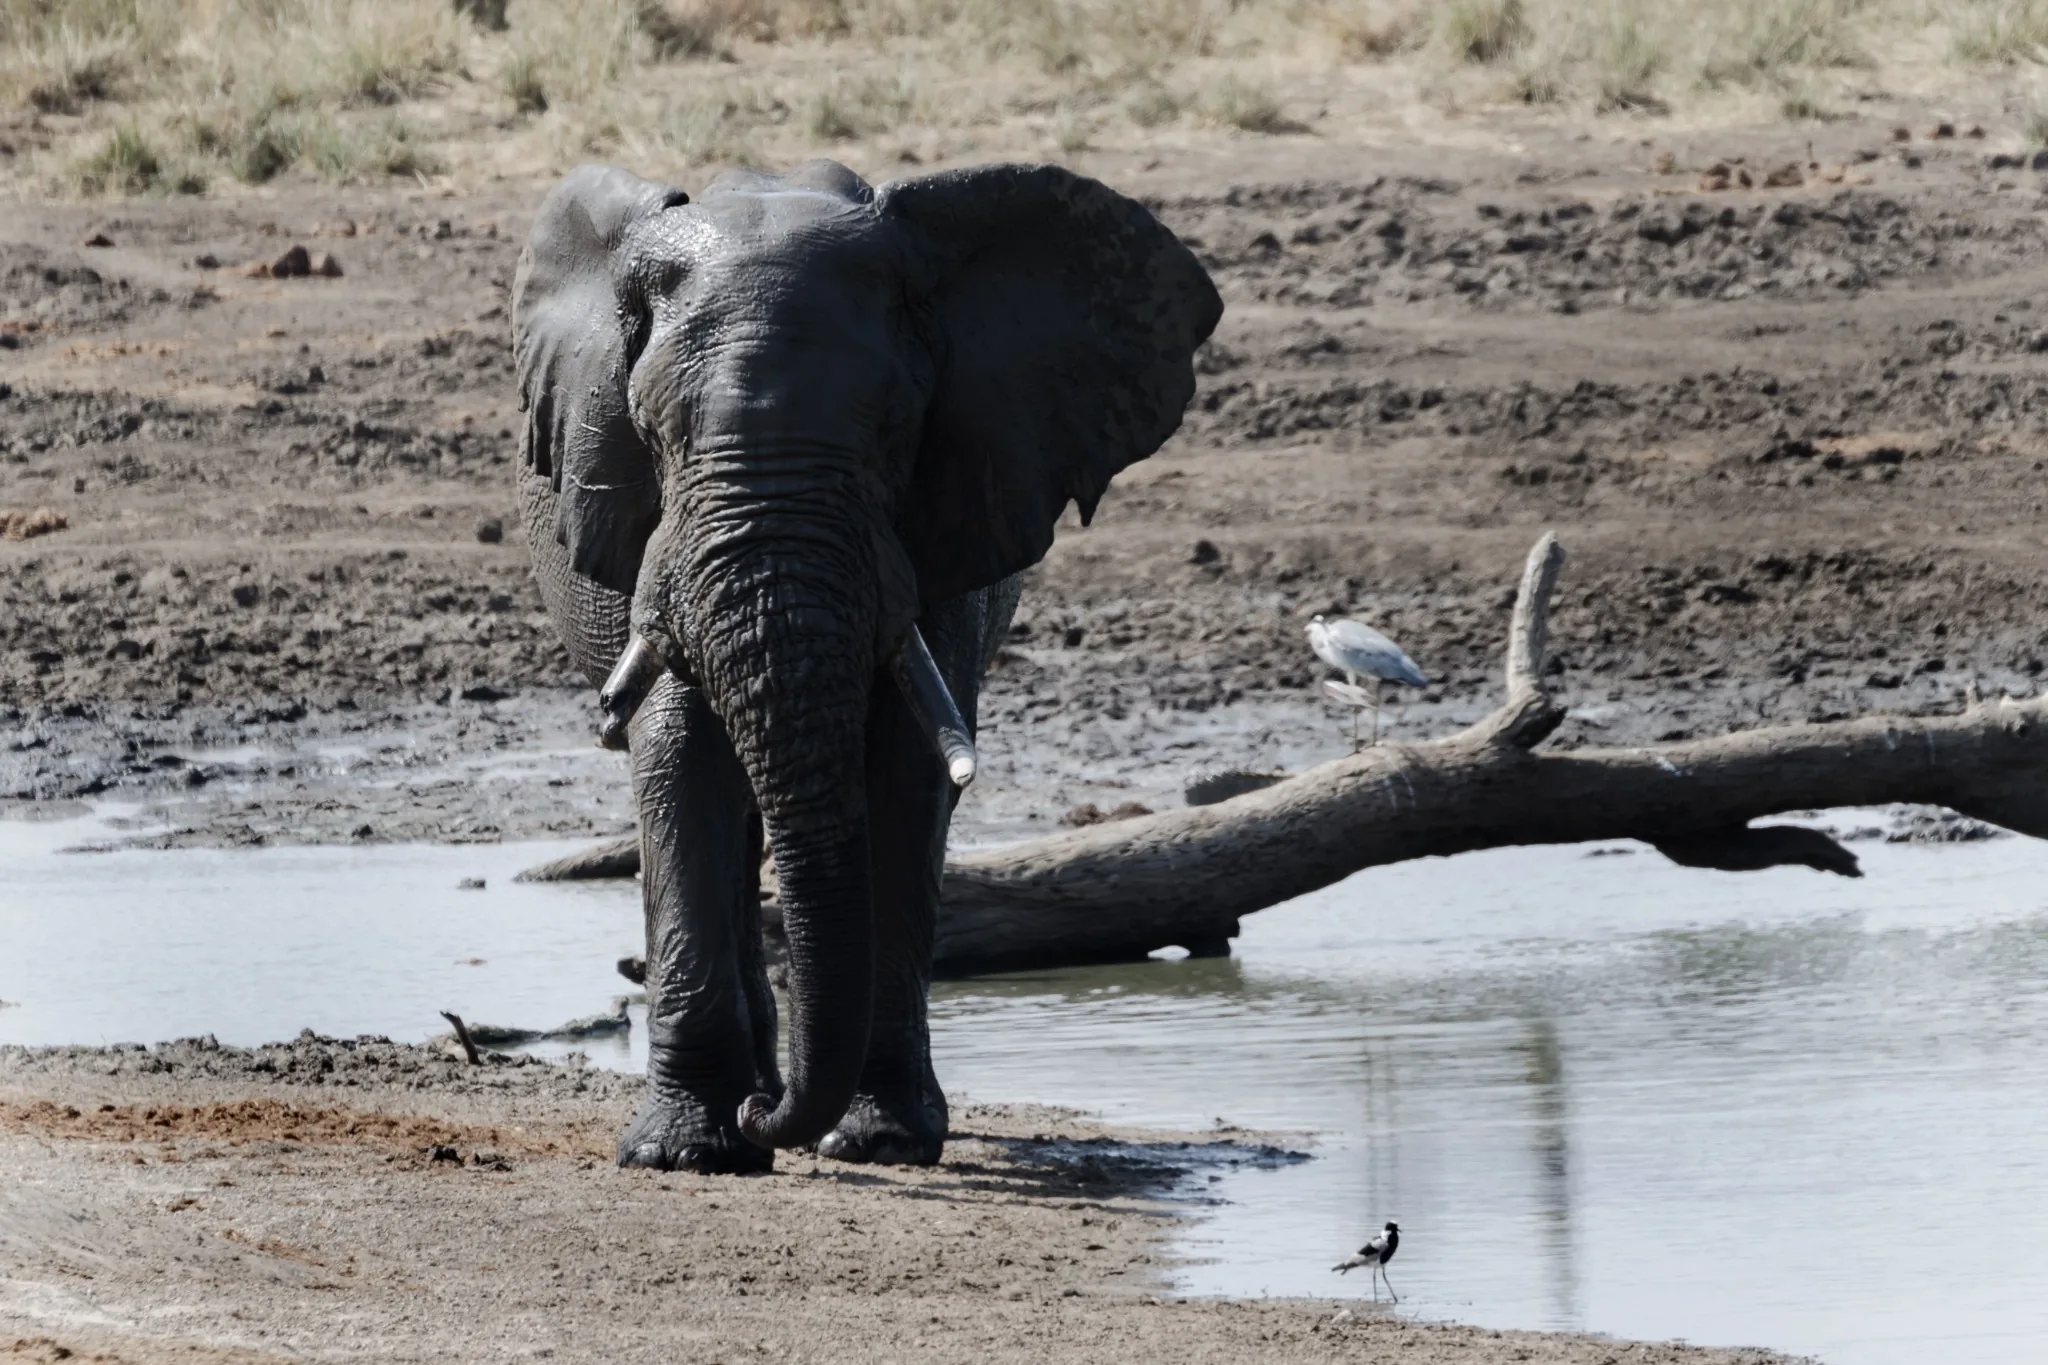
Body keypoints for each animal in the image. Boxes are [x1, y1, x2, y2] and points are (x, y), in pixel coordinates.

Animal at [512, 157, 1221, 1173]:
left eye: (895, 430)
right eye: (653, 432)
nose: (764, 1120)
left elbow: (907, 769)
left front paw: (880, 1139)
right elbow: (677, 751)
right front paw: (684, 1152)